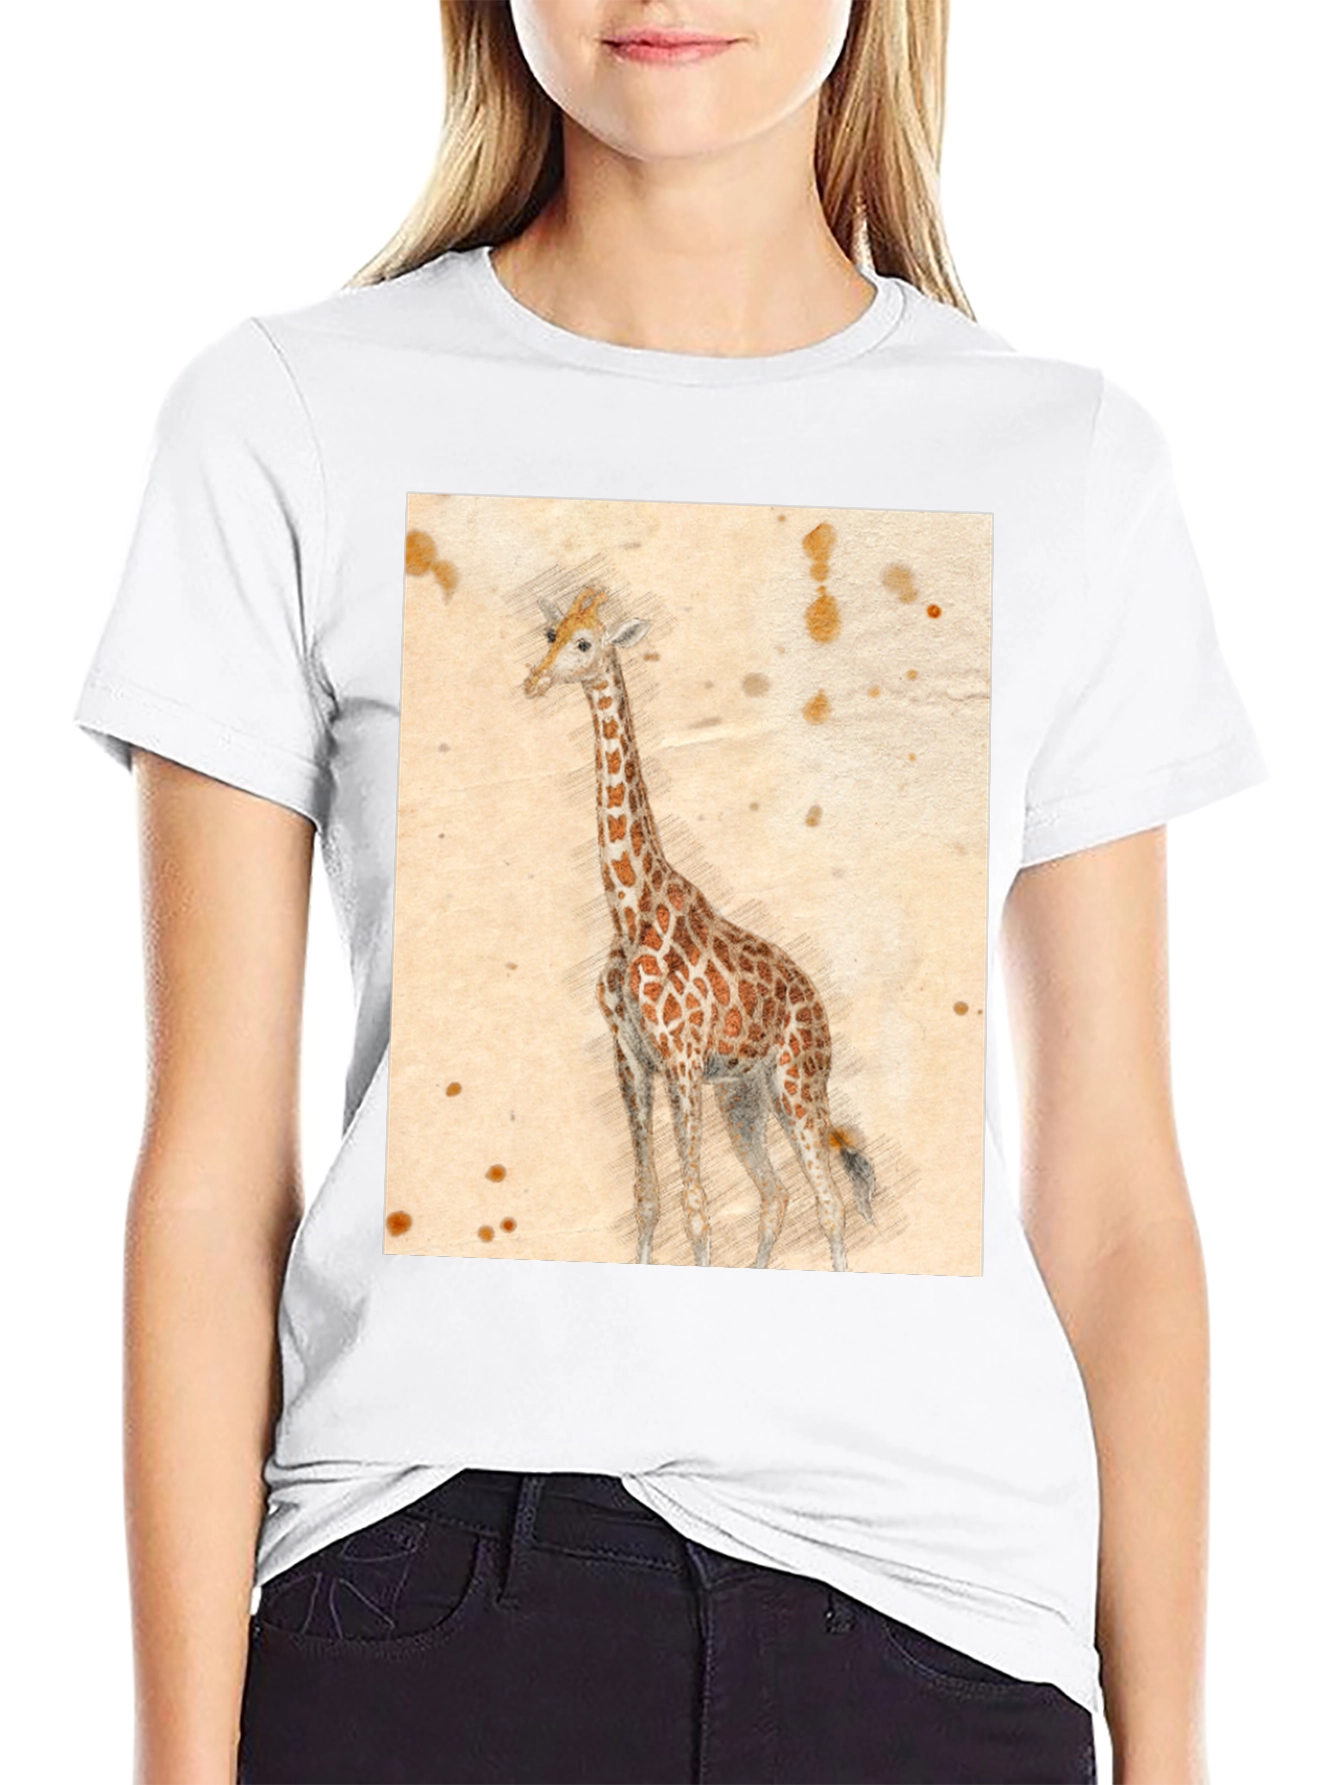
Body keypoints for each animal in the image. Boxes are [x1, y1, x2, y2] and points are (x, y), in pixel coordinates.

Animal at [523, 583, 879, 1272]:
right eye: (549, 636)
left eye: (585, 642)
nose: (533, 681)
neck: (630, 909)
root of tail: (818, 1006)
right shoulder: (633, 1063)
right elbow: (648, 1200)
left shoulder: (683, 1060)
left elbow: (695, 1208)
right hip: (743, 1095)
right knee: (777, 1194)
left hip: (796, 1083)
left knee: (828, 1201)